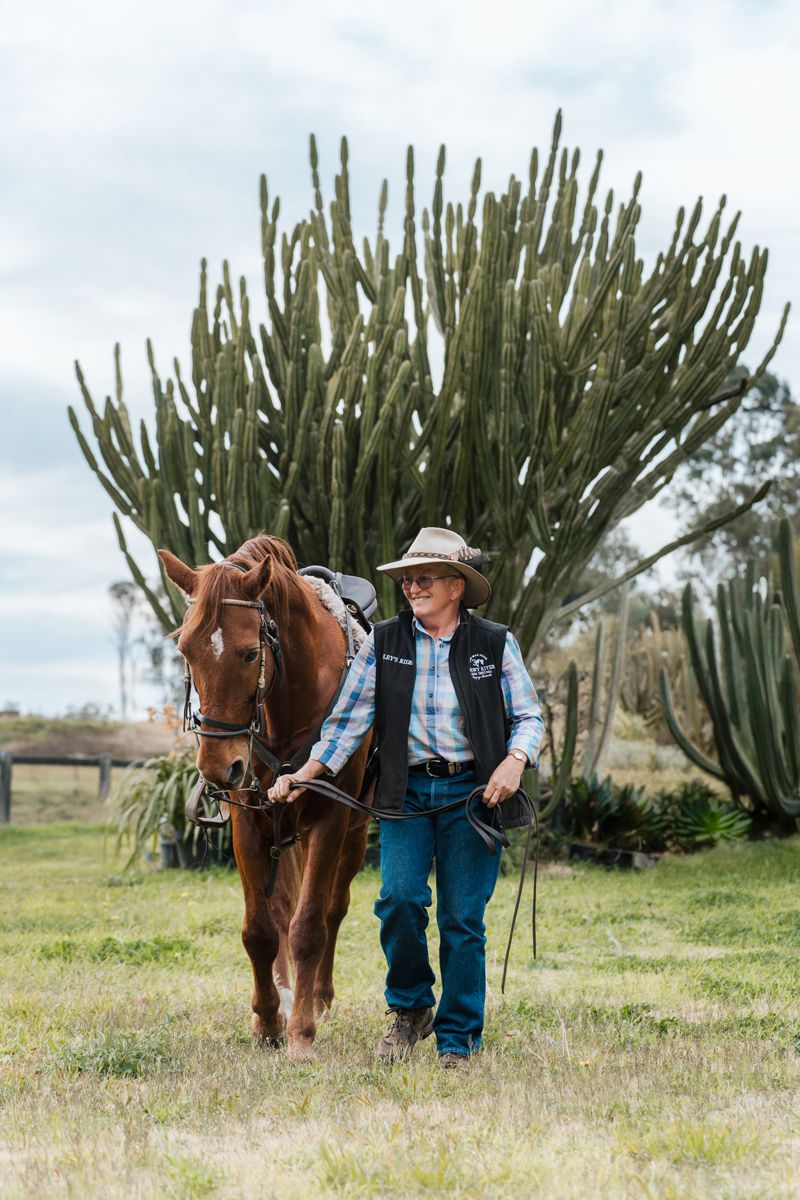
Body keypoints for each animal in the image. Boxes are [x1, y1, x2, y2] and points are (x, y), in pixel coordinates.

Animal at [158, 534, 372, 1061]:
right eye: (185, 649)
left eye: (249, 653)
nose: (219, 767)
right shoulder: (248, 822)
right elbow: (260, 930)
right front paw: (268, 1021)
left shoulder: (330, 821)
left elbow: (310, 926)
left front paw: (301, 1031)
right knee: (280, 912)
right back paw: (289, 990)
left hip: (354, 834)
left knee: (331, 909)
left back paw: (317, 997)